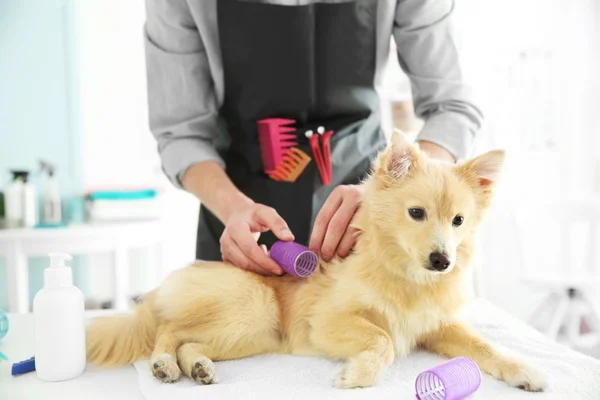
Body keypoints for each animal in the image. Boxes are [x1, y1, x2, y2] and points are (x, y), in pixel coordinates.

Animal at [85, 133, 548, 392]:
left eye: (458, 221)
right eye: (416, 213)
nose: (442, 260)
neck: (404, 275)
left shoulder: (438, 327)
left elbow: (484, 346)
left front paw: (524, 369)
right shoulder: (328, 322)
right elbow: (382, 339)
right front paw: (357, 376)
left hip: (253, 335)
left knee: (189, 343)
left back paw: (198, 367)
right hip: (252, 307)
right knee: (167, 329)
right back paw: (163, 363)